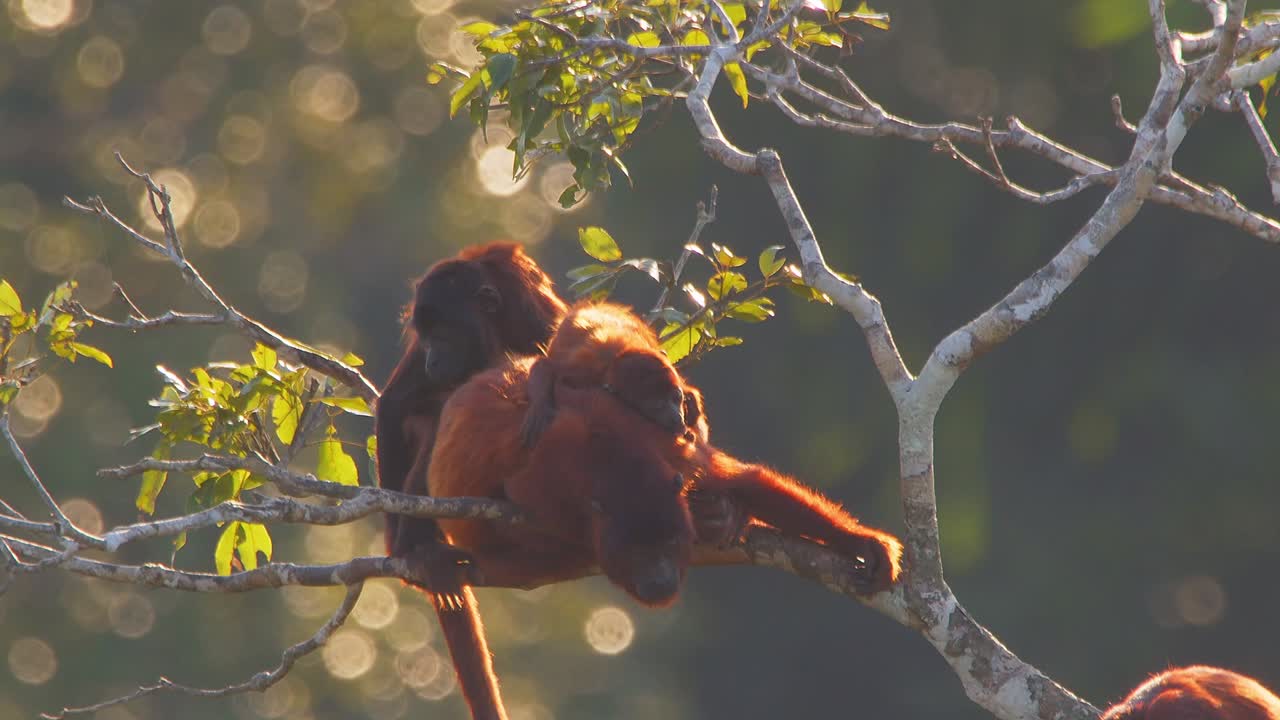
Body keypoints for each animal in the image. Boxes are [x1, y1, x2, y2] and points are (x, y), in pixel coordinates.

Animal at [374, 242, 566, 720]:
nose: (432, 358)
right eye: (427, 338)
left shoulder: (540, 321)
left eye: (445, 335)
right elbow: (393, 404)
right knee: (441, 413)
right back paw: (420, 549)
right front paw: (399, 544)